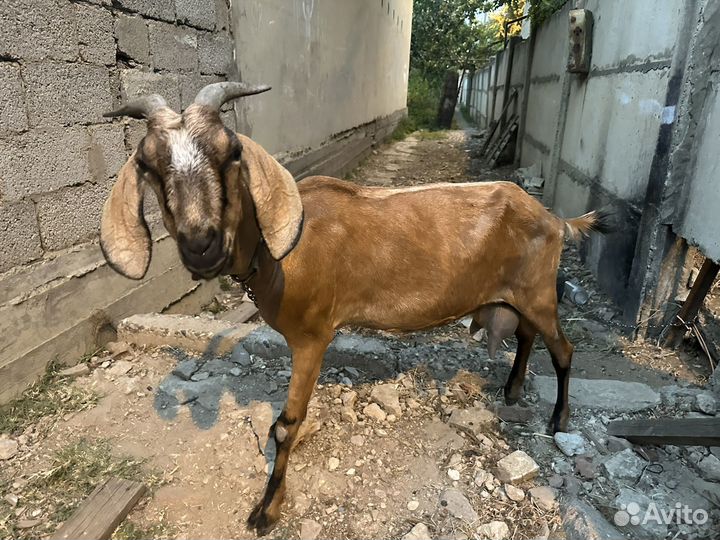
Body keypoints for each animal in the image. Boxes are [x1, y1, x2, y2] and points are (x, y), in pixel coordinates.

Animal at [100, 82, 612, 535]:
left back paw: (558, 419)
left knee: (563, 349)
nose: (201, 245)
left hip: (539, 293)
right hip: (518, 295)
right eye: (146, 163)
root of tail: (555, 219)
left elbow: (285, 427)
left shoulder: (311, 336)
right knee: (526, 336)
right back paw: (511, 390)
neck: (280, 250)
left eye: (232, 151)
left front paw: (266, 511)